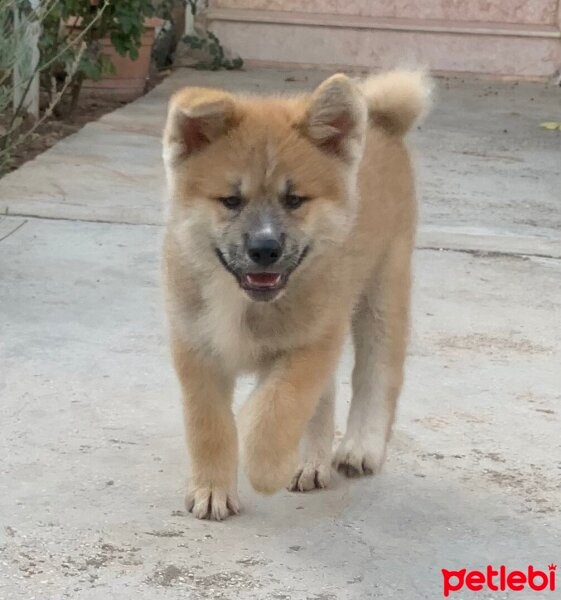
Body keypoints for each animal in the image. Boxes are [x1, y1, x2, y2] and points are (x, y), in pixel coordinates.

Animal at [161, 70, 428, 520]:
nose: (265, 249)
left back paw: (360, 447)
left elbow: (276, 409)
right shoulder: (196, 347)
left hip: (383, 290)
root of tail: (381, 119)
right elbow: (208, 425)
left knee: (378, 374)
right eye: (231, 200)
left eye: (294, 200)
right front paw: (212, 489)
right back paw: (311, 461)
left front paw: (267, 465)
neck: (240, 299)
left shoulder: (312, 341)